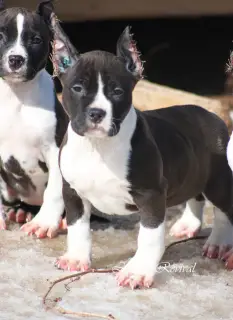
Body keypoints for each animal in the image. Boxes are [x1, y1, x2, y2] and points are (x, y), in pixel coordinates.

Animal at [0, 0, 68, 238]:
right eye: (0, 35)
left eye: (36, 40)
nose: (15, 59)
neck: (15, 94)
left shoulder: (56, 151)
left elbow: (55, 191)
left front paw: (44, 223)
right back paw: (21, 211)